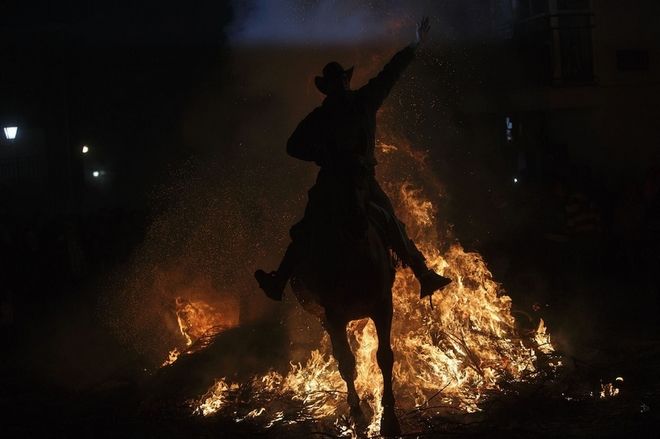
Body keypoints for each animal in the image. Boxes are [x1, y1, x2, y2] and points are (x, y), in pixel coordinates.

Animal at [290, 178, 402, 436]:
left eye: (363, 183)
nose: (356, 222)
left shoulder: (383, 307)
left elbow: (384, 357)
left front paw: (389, 419)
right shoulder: (334, 317)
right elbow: (347, 363)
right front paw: (357, 414)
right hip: (325, 318)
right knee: (341, 358)